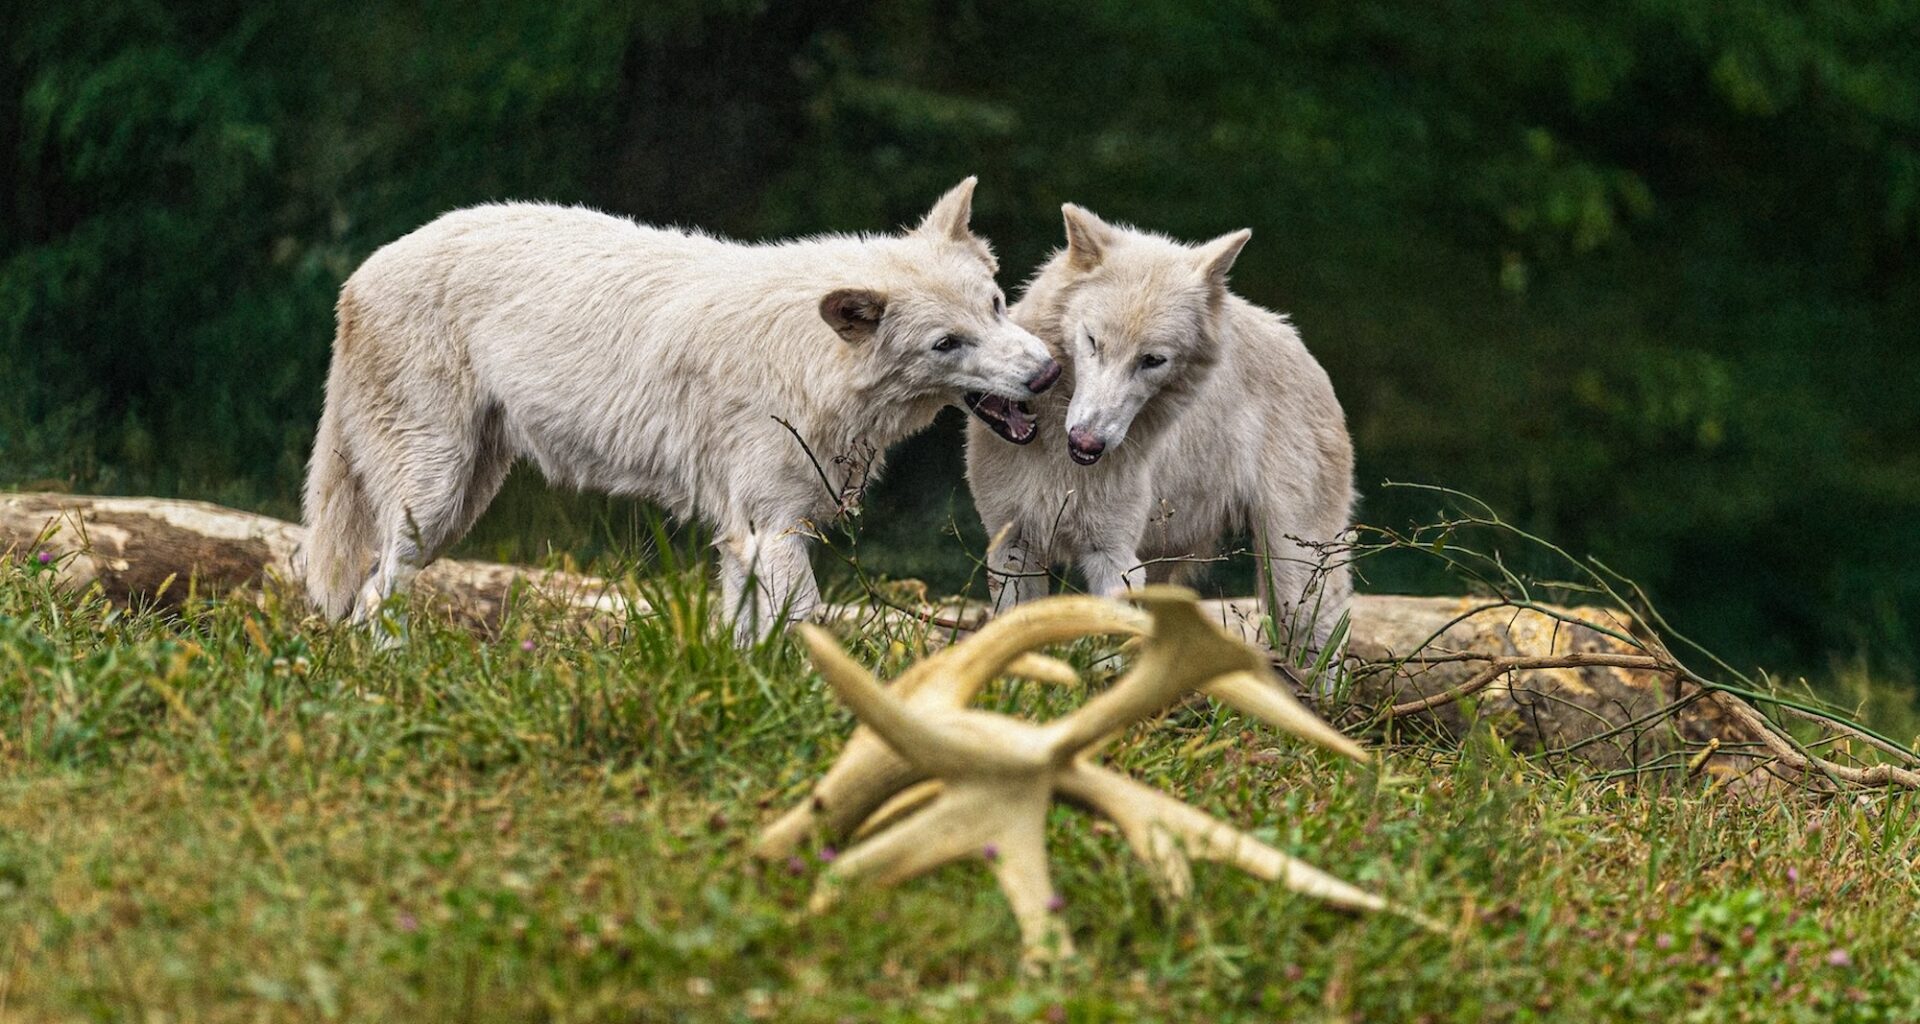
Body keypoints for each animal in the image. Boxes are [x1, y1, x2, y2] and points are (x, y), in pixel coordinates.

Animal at [302, 178, 1059, 643]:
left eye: (996, 305)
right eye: (946, 343)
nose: (1048, 372)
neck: (811, 363)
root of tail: (360, 275)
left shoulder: (747, 540)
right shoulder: (772, 532)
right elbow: (808, 631)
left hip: (460, 504)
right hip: (432, 500)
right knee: (373, 596)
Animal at [964, 204, 1354, 655]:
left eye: (1152, 360)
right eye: (1093, 341)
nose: (1087, 441)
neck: (1059, 459)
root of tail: (1302, 347)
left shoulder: (1112, 556)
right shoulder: (1012, 545)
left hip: (1295, 571)